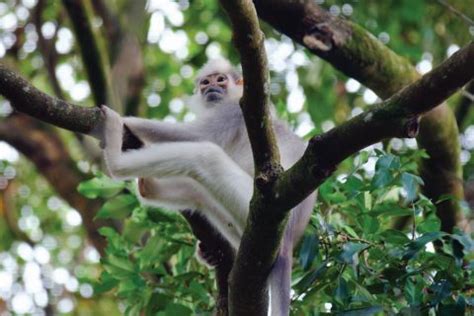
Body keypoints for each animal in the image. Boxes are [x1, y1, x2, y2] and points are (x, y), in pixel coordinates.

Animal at [100, 59, 316, 316]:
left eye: (220, 79)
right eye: (205, 82)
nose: (211, 87)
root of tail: (289, 242)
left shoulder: (233, 110)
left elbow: (194, 135)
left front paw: (125, 120)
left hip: (256, 204)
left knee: (206, 155)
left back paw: (115, 158)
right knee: (199, 192)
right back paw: (147, 187)